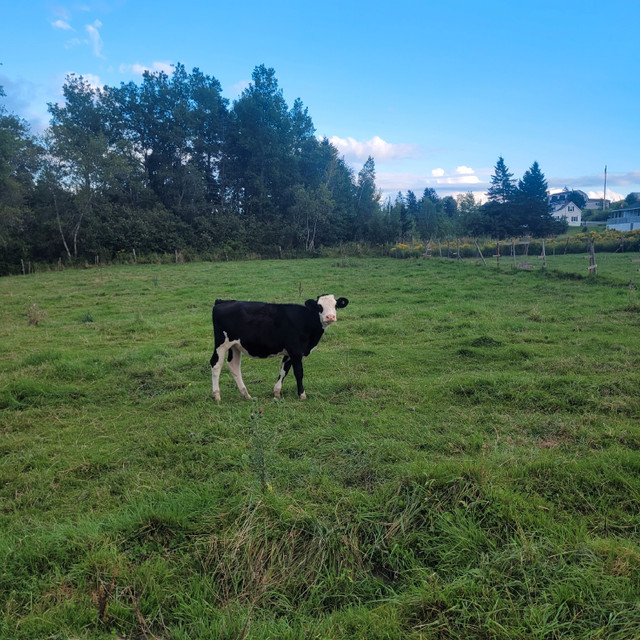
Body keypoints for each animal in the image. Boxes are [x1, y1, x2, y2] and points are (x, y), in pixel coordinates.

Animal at [210, 294, 349, 401]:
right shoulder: (296, 351)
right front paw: (302, 395)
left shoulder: (289, 352)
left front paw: (277, 392)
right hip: (222, 343)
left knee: (234, 365)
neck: (306, 320)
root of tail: (223, 302)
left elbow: (284, 370)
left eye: (335, 305)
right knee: (216, 364)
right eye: (319, 306)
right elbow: (299, 372)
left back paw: (246, 394)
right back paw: (217, 396)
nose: (330, 317)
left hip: (235, 346)